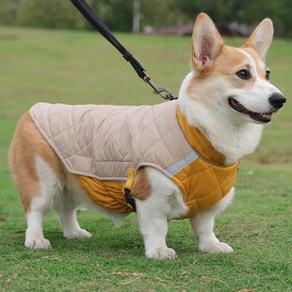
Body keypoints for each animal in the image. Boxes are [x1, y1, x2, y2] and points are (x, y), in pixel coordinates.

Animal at [8, 13, 286, 260]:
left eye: (267, 74)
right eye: (242, 74)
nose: (280, 99)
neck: (197, 133)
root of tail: (33, 110)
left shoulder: (208, 202)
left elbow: (205, 227)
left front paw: (212, 246)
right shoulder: (150, 195)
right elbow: (157, 227)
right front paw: (159, 251)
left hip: (71, 180)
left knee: (66, 207)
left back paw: (74, 232)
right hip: (43, 179)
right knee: (35, 210)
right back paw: (36, 239)